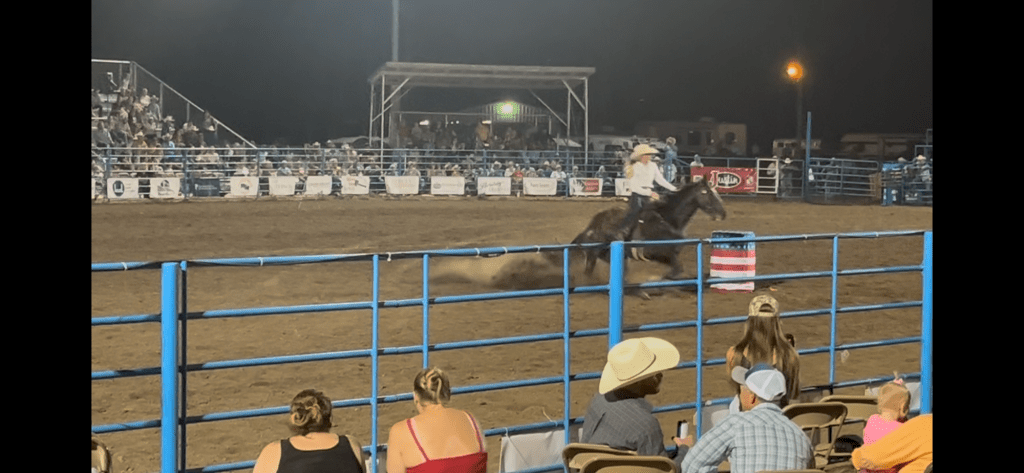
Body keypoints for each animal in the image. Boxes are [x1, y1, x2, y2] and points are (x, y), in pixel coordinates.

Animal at [569, 178, 727, 294]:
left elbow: (677, 271)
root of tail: (591, 226)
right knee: (589, 273)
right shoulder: (658, 253)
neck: (668, 220)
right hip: (594, 254)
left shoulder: (669, 256)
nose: (723, 213)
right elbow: (675, 271)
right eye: (707, 193)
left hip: (610, 256)